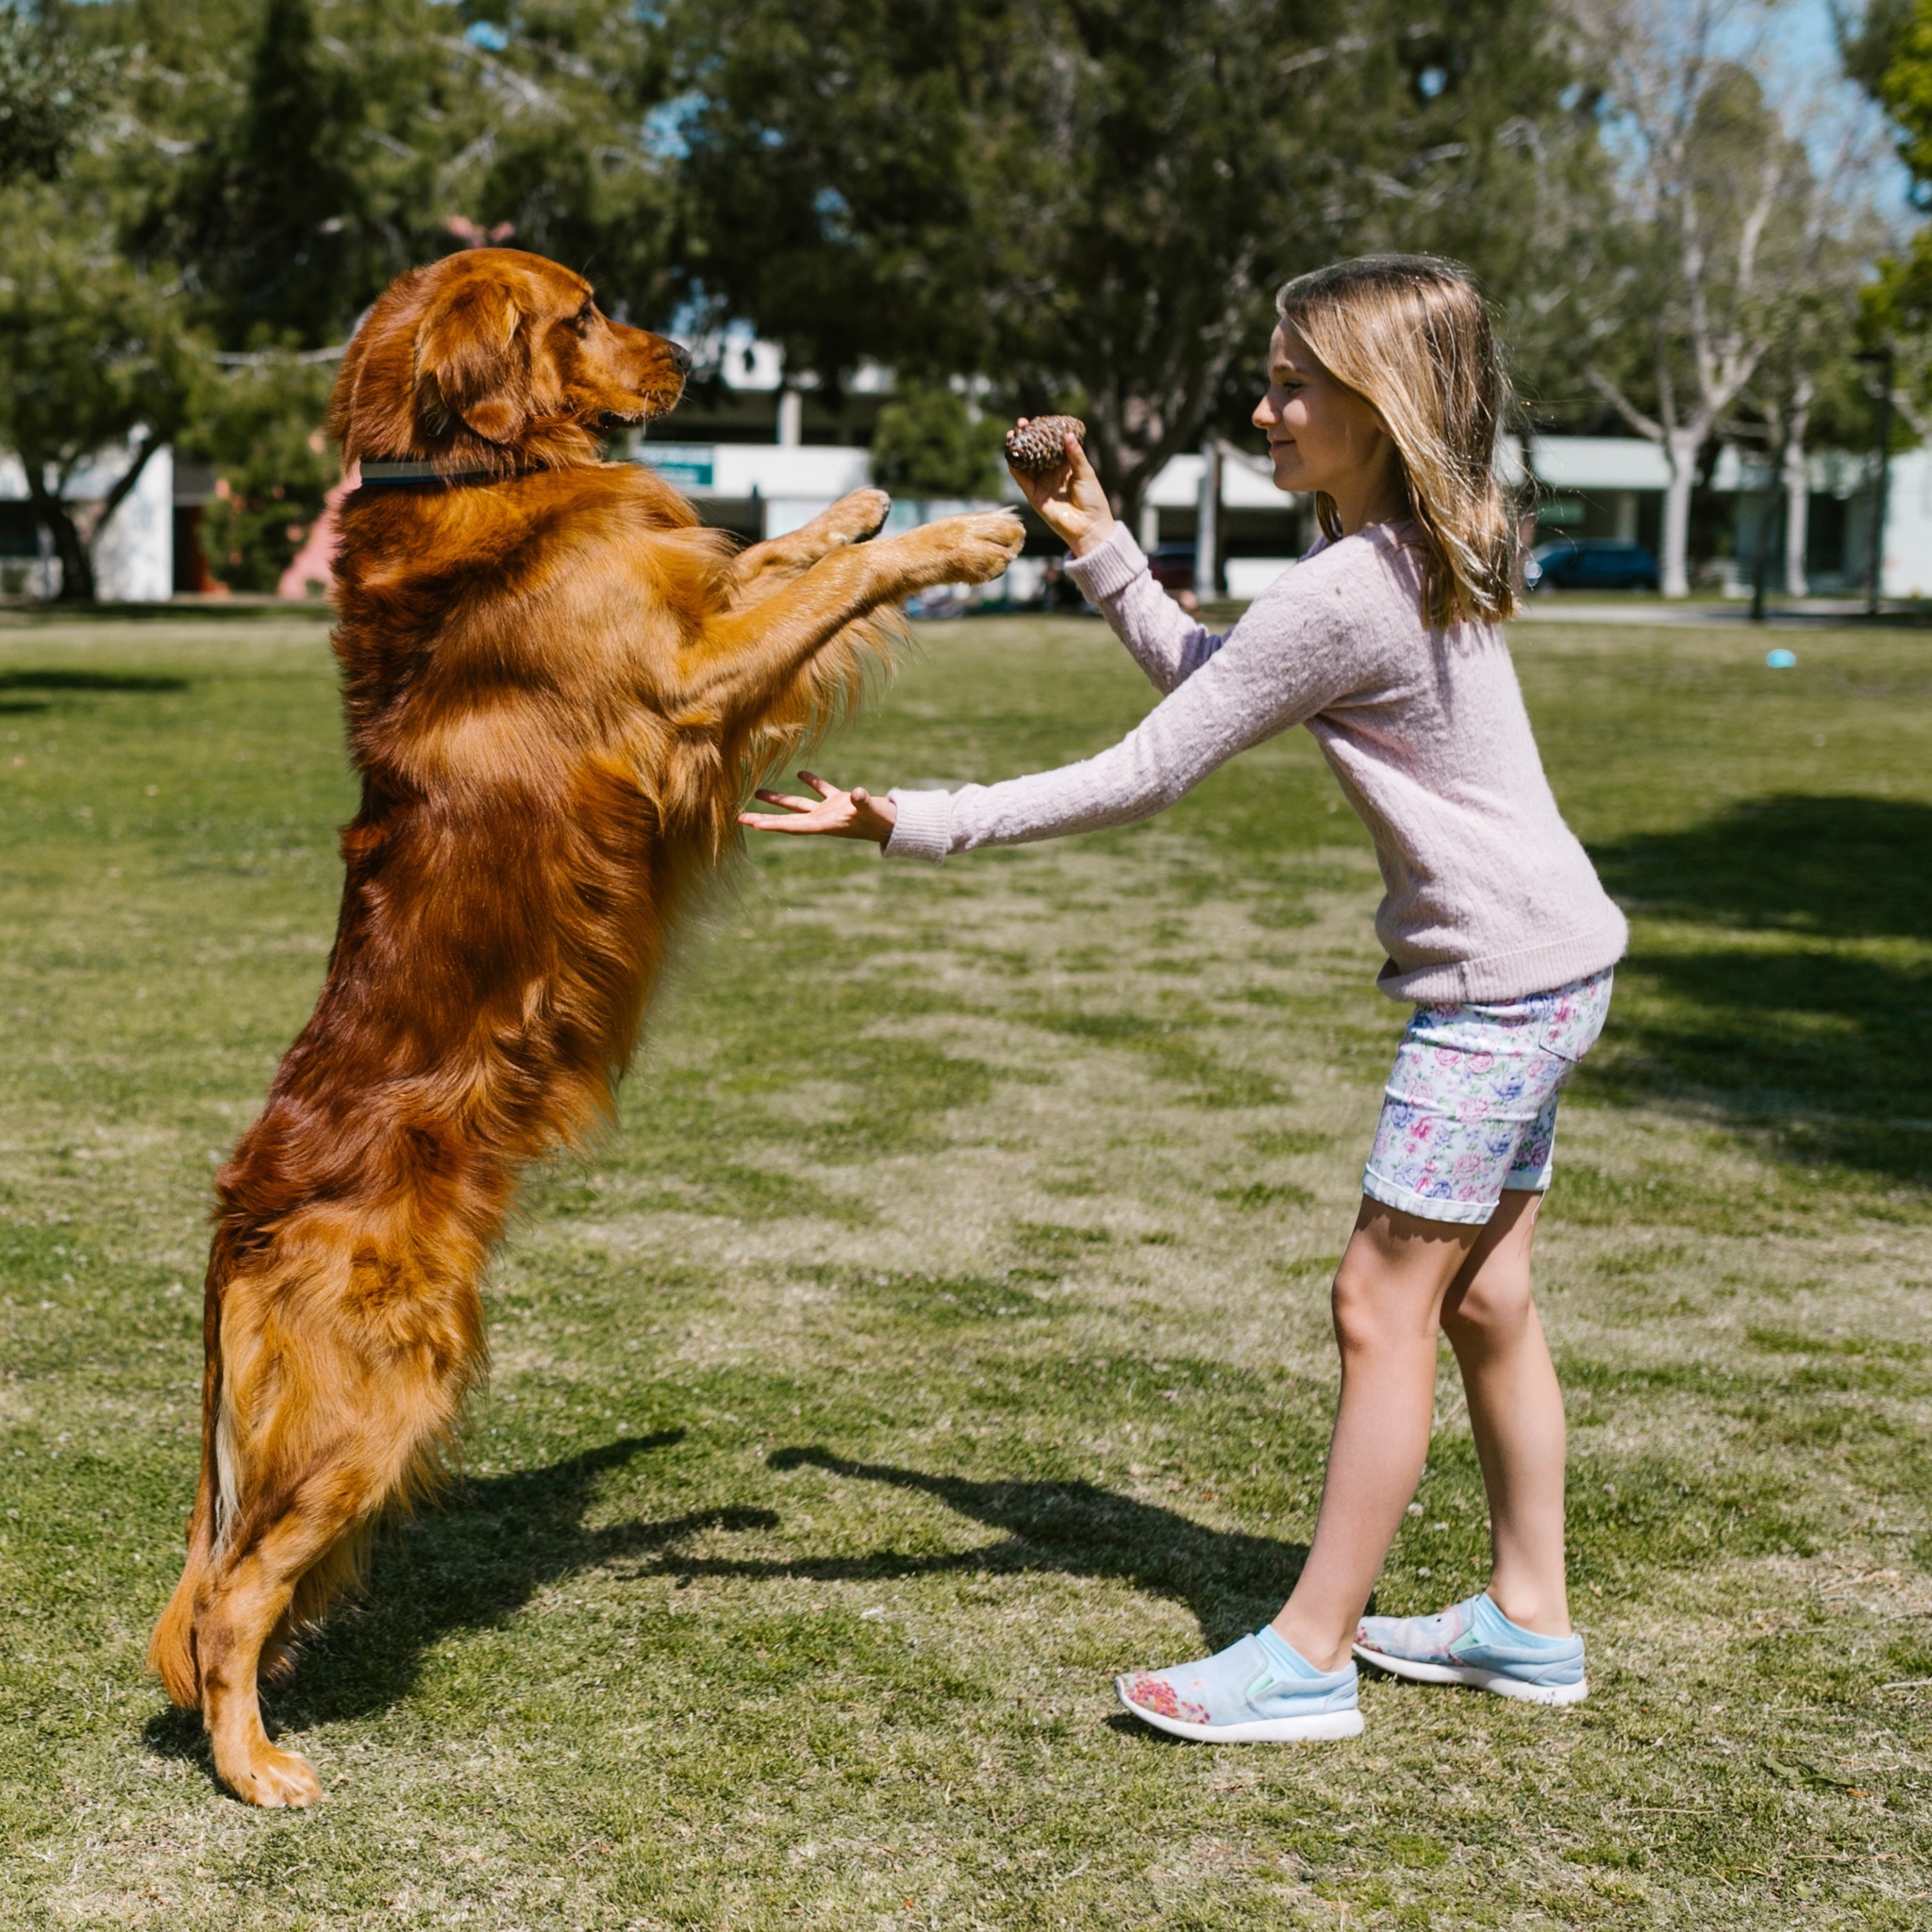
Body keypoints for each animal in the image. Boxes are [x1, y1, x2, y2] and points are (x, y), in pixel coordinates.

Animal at [146, 249, 1027, 1800]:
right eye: (587, 309)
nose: (693, 358)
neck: (463, 468)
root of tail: (238, 1206)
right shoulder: (687, 678)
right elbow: (834, 583)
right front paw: (958, 532)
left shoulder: (699, 619)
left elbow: (769, 556)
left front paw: (850, 500)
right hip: (382, 1398)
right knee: (231, 1597)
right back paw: (255, 1764)